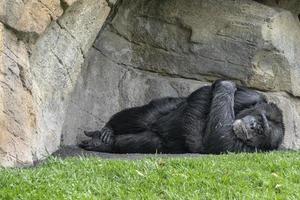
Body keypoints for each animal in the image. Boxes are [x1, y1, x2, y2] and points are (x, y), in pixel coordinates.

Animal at [79, 80, 284, 154]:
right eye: (260, 120)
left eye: (261, 131)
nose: (253, 126)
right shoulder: (251, 98)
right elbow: (209, 95)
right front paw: (227, 85)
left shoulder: (236, 148)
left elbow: (214, 138)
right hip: (163, 106)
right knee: (146, 115)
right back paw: (108, 129)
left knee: (149, 141)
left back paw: (104, 143)